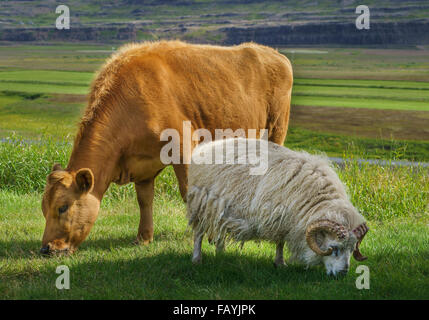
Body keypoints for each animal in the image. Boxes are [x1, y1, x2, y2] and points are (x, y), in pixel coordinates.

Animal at [39, 40, 290, 255]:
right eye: (43, 207)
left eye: (62, 207)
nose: (46, 249)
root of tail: (273, 53)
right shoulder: (141, 165)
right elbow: (144, 200)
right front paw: (143, 238)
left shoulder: (184, 147)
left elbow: (190, 192)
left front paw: (209, 237)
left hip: (275, 130)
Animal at [186, 139, 366, 276]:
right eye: (334, 248)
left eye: (352, 249)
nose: (343, 274)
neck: (315, 199)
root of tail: (204, 146)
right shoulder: (280, 216)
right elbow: (280, 242)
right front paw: (280, 262)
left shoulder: (285, 219)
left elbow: (280, 242)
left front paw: (280, 263)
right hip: (201, 204)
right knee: (199, 233)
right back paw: (196, 259)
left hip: (219, 209)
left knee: (219, 229)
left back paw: (220, 252)